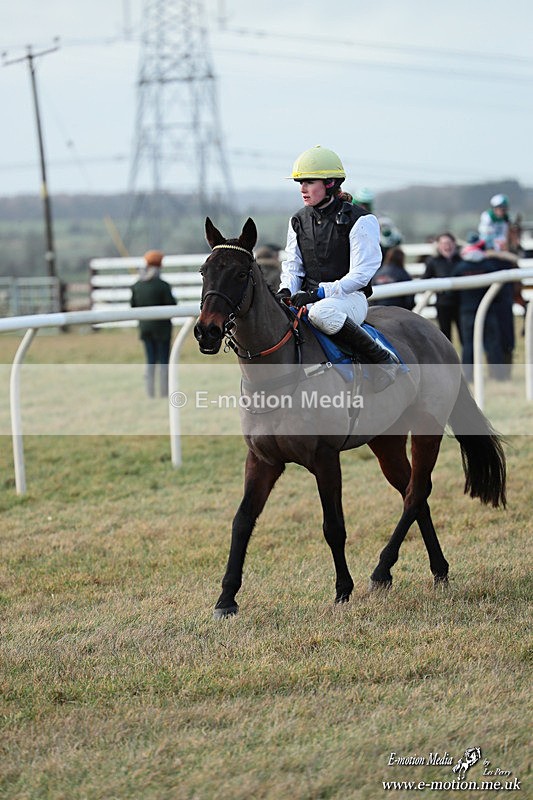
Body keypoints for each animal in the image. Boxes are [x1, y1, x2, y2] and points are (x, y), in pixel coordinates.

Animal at [194, 218, 507, 619]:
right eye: (205, 271)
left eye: (240, 273)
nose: (207, 330)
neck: (281, 374)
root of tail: (435, 333)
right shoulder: (262, 459)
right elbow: (242, 521)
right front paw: (226, 598)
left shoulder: (325, 457)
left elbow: (333, 526)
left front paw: (343, 589)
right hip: (386, 440)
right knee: (413, 492)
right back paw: (438, 570)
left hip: (427, 428)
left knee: (416, 492)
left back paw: (381, 570)